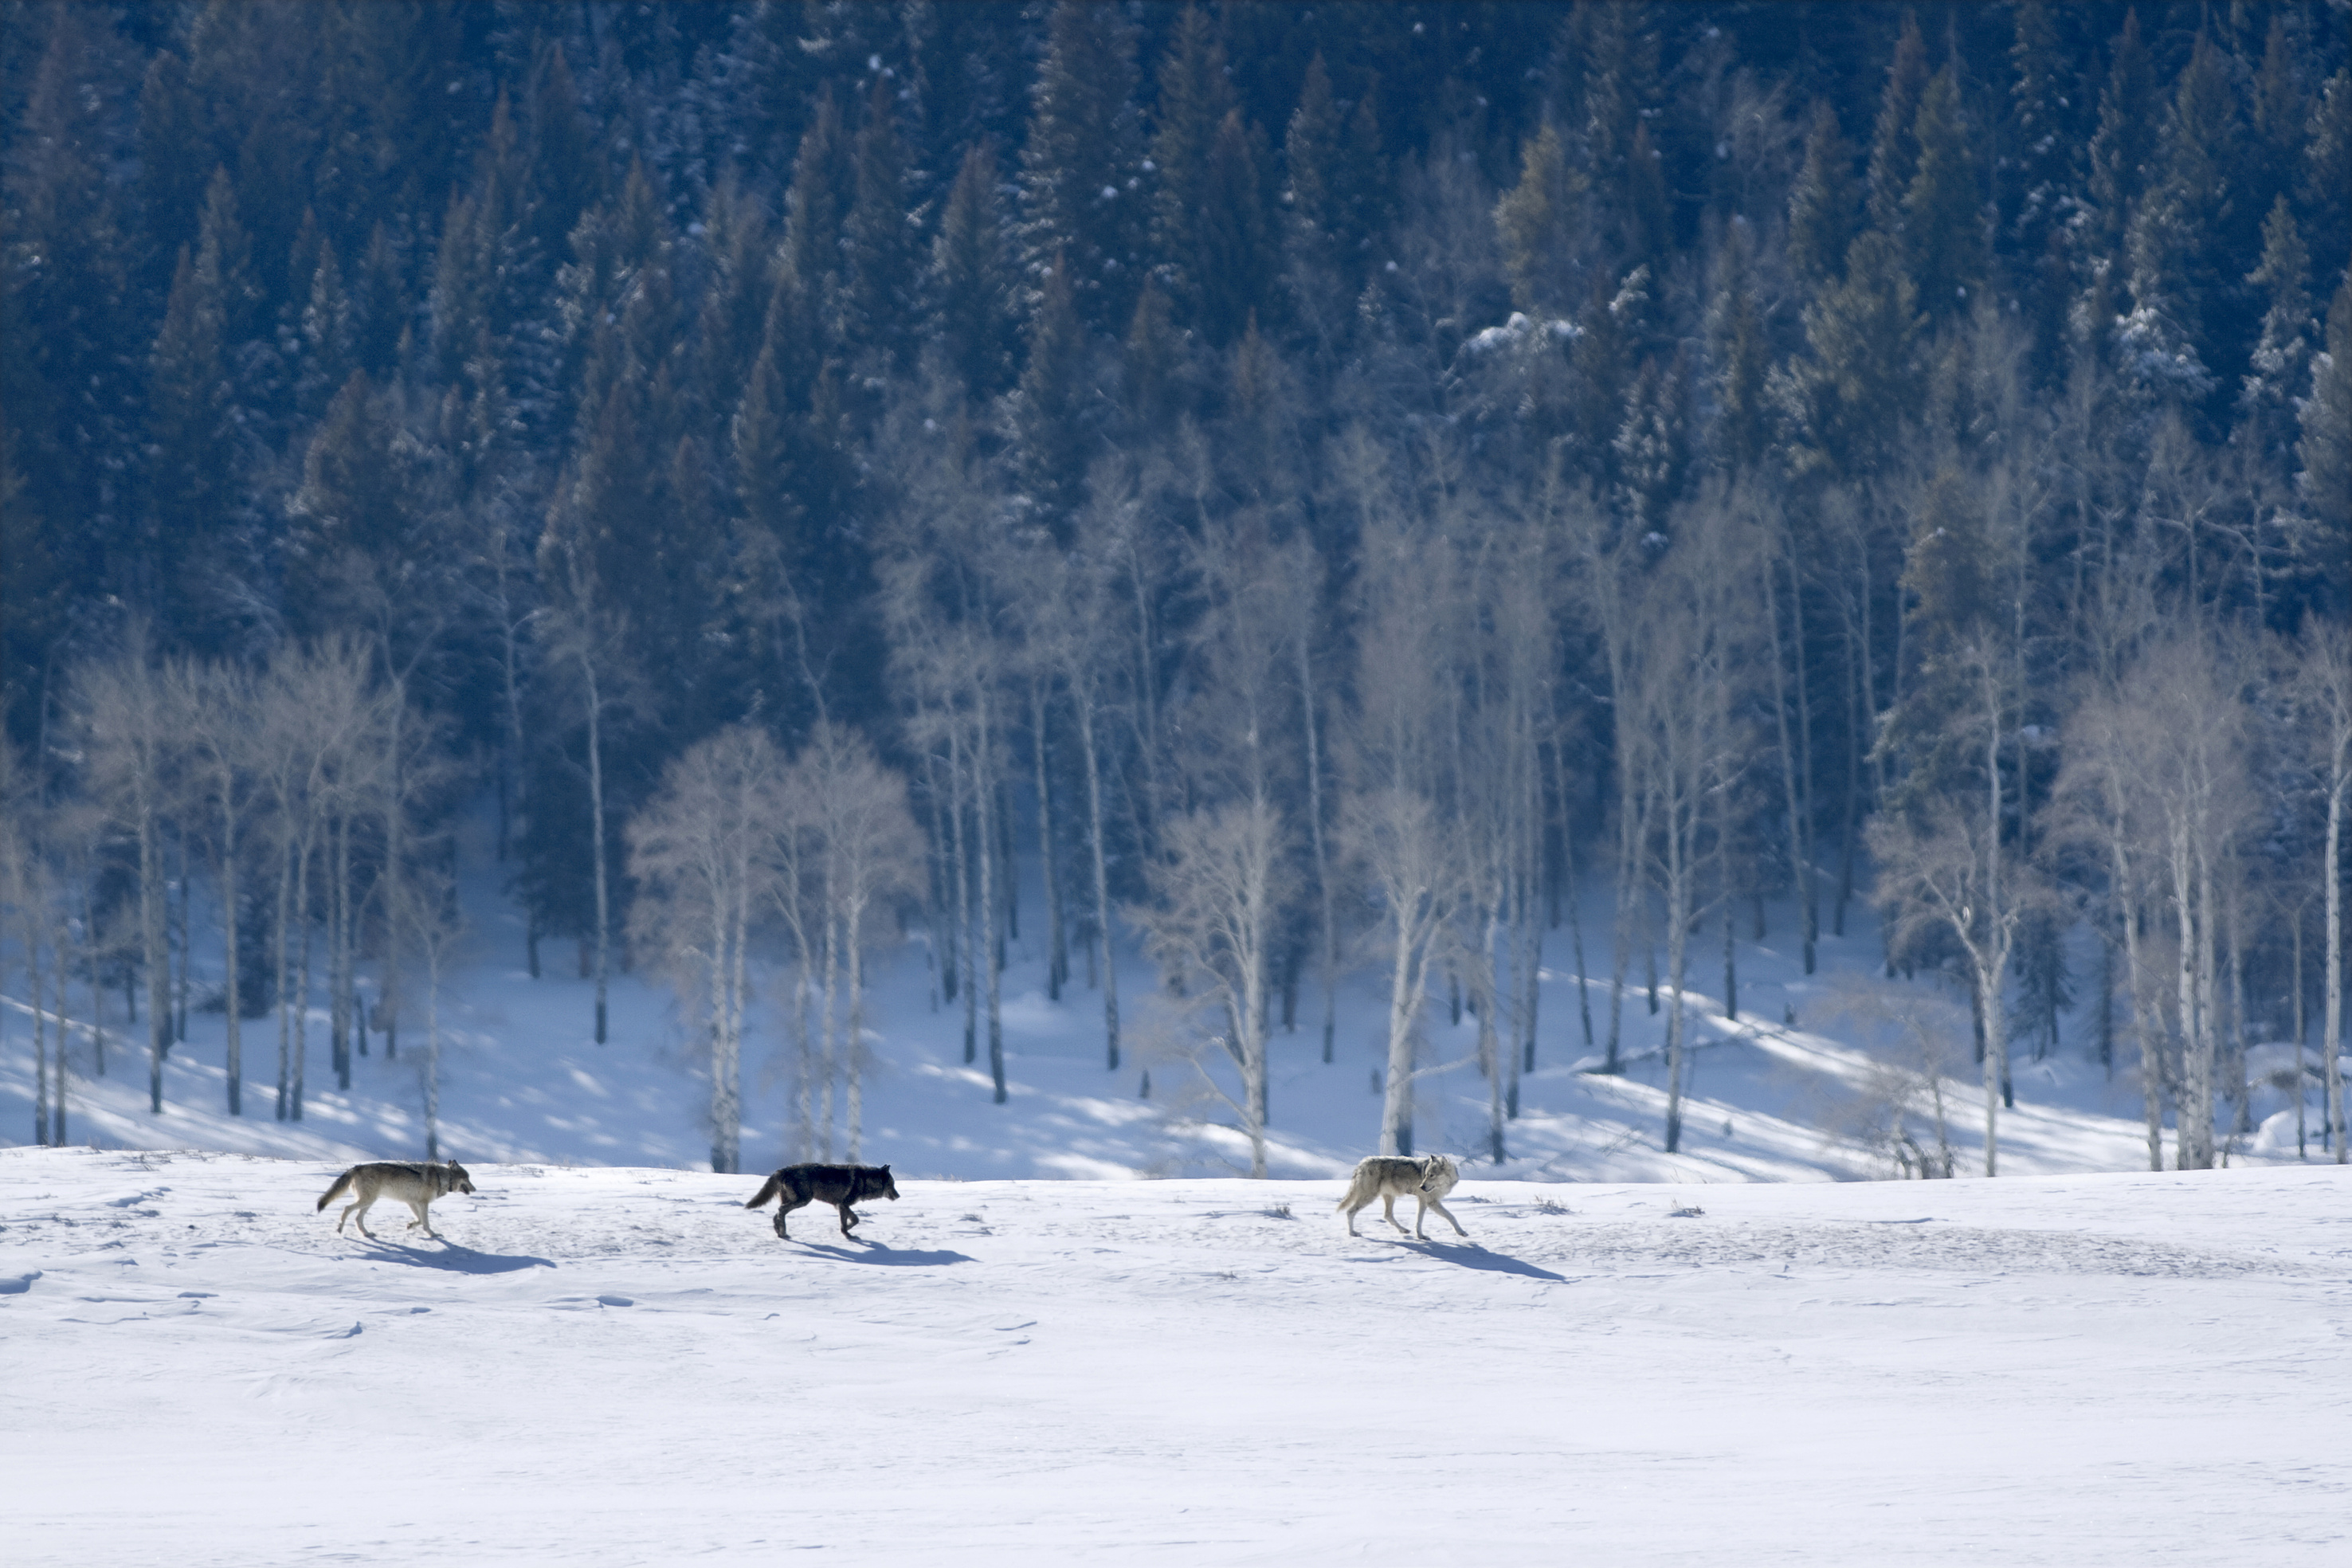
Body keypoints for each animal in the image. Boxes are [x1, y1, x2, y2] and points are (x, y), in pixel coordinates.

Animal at [316, 1159, 476, 1240]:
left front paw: (410, 1225)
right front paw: (433, 1235)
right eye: (467, 1178)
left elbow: (419, 1220)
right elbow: (426, 1223)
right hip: (368, 1200)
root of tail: (356, 1168)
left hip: (369, 1202)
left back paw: (367, 1234)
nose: (475, 1189)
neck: (440, 1178)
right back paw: (340, 1228)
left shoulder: (412, 1202)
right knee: (346, 1209)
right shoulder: (423, 1203)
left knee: (357, 1218)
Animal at [745, 1163, 900, 1240]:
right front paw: (847, 1235)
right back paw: (783, 1233)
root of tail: (782, 1170)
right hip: (803, 1201)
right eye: (892, 1185)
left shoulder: (840, 1206)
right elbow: (847, 1223)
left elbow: (855, 1219)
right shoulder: (843, 1205)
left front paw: (849, 1231)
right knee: (780, 1211)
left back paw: (779, 1232)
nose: (898, 1196)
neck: (864, 1180)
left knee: (777, 1214)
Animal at [1338, 1153, 1468, 1240]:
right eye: (1426, 1175)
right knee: (1350, 1211)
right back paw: (1353, 1233)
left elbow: (1419, 1221)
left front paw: (1421, 1236)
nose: (1421, 1187)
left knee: (1388, 1216)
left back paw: (1403, 1230)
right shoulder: (1431, 1202)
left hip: (1389, 1197)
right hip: (1369, 1197)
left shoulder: (1423, 1201)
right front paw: (1461, 1232)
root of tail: (1362, 1163)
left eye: (1432, 1175)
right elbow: (1451, 1216)